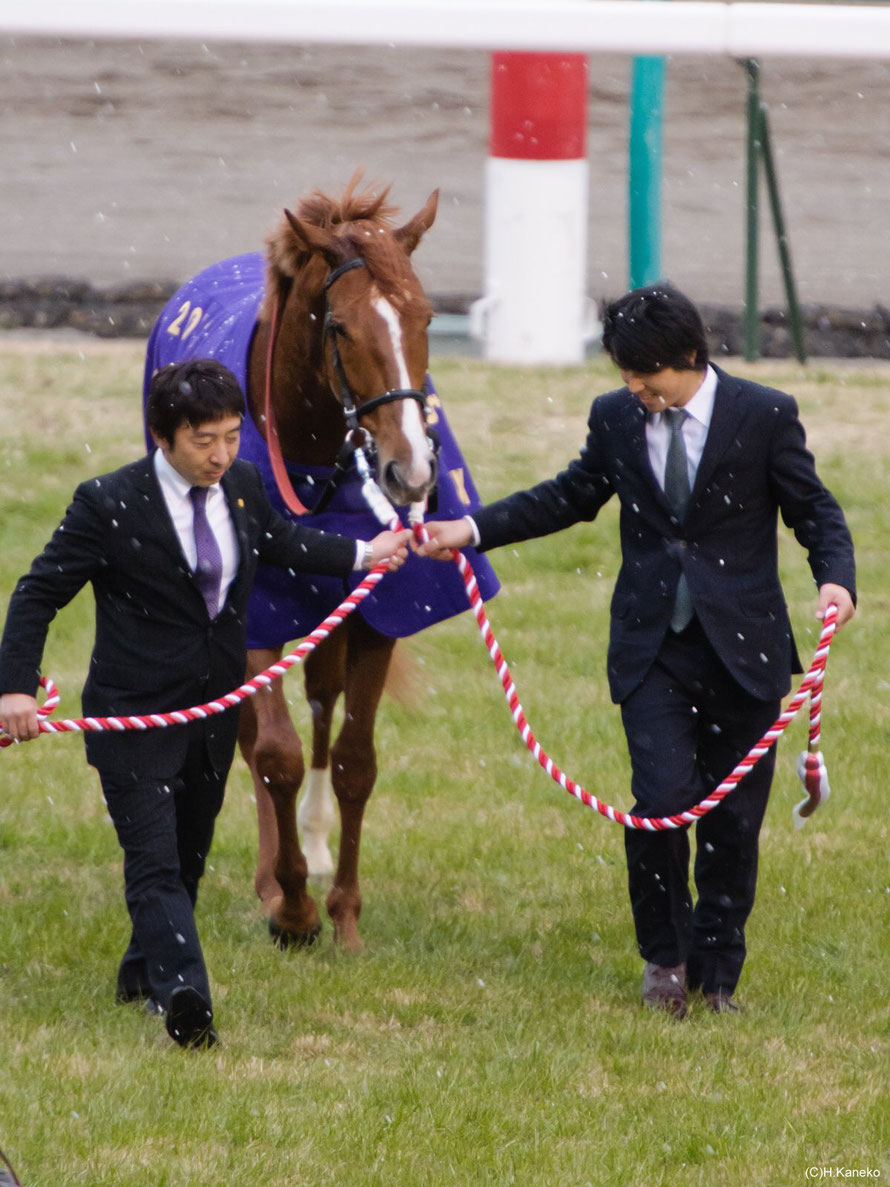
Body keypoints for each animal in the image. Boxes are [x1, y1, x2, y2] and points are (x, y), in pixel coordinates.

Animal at [142, 175, 498, 949]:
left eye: (426, 318)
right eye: (340, 328)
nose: (411, 472)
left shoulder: (376, 611)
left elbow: (355, 760)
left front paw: (344, 910)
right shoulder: (254, 612)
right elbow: (271, 751)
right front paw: (294, 908)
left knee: (322, 706)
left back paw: (311, 840)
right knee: (253, 734)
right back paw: (276, 872)